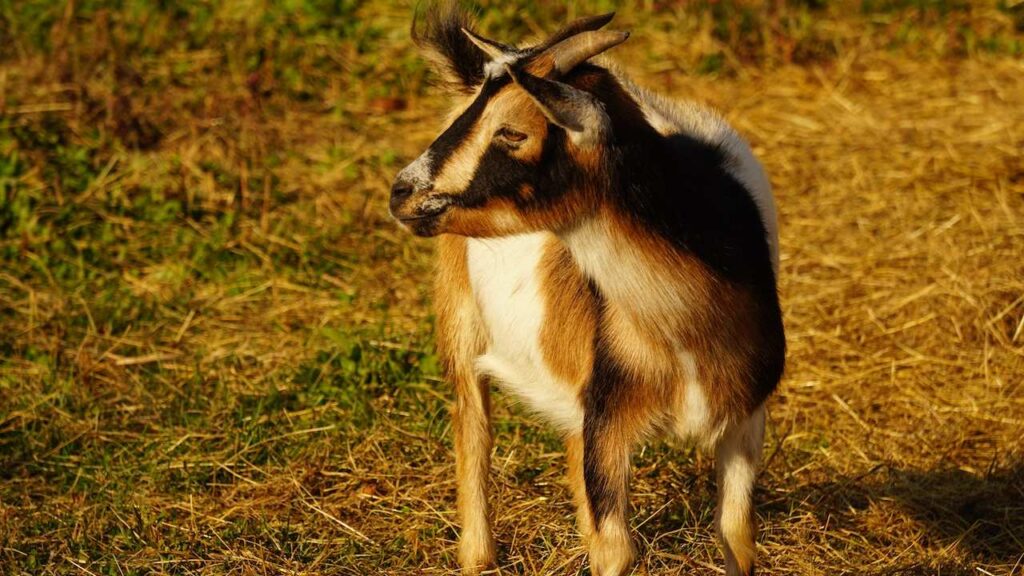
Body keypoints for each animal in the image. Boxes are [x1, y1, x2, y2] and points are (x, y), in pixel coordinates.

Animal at [390, 6, 785, 576]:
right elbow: (617, 549)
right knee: (473, 427)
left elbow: (736, 533)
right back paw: (479, 557)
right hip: (459, 317)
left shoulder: (746, 416)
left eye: (512, 132)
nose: (402, 190)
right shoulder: (609, 421)